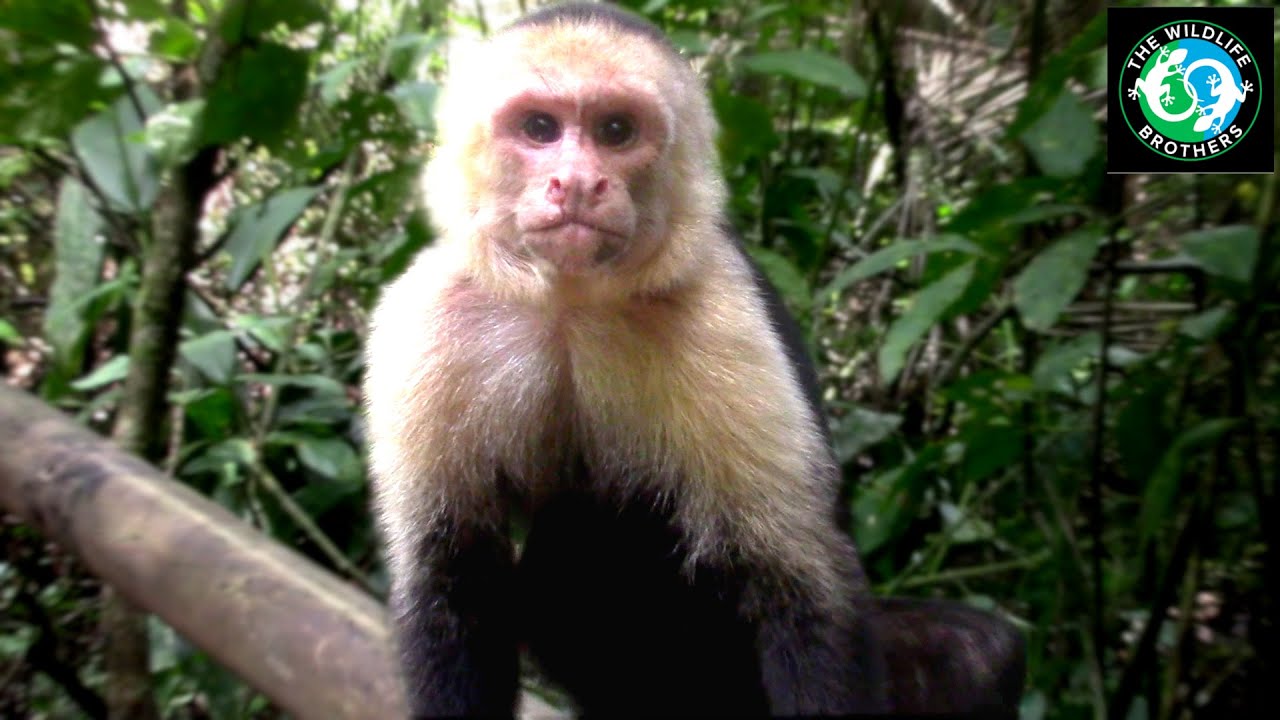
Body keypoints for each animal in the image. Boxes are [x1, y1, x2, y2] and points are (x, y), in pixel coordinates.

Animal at [363, 2, 1023, 717]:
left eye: (616, 130)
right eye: (539, 128)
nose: (578, 183)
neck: (571, 305)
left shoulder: (724, 314)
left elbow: (802, 583)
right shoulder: (424, 323)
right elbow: (451, 576)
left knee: (978, 651)